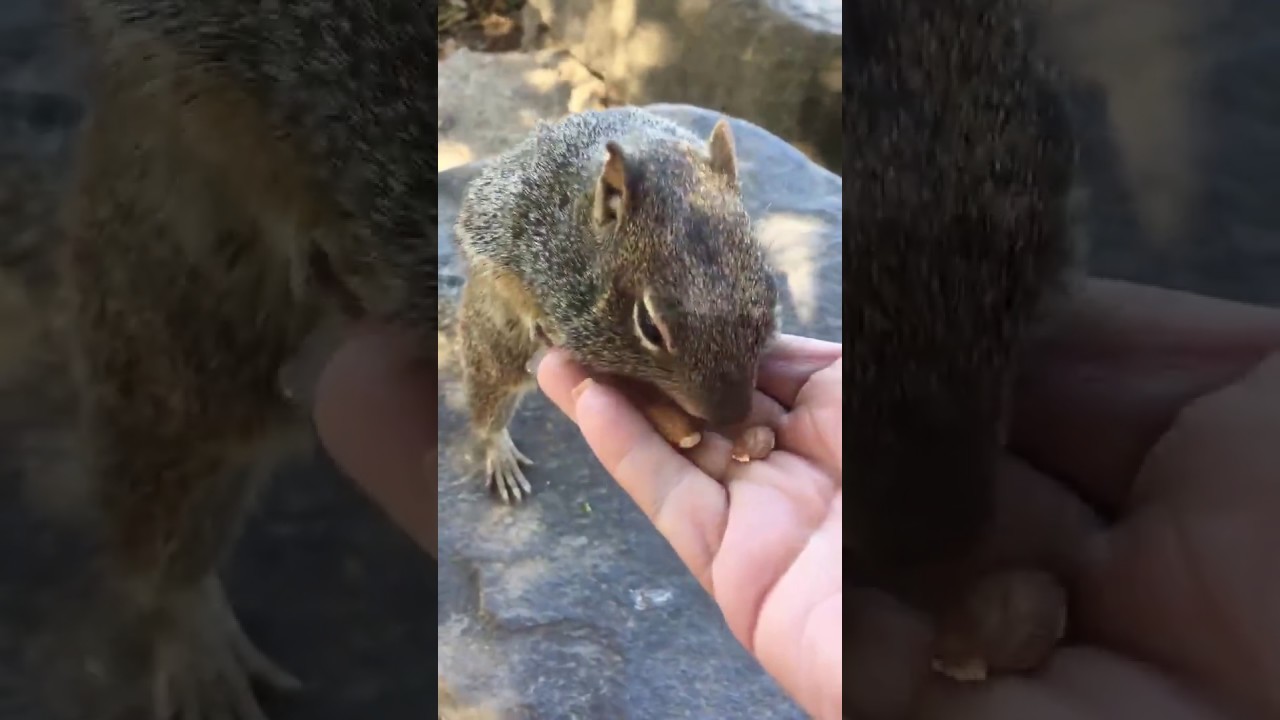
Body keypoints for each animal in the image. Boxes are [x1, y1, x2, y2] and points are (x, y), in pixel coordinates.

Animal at [451, 107, 781, 503]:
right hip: (492, 344)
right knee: (489, 399)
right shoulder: (507, 222)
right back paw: (499, 449)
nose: (730, 416)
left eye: (770, 290)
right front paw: (537, 320)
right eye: (650, 326)